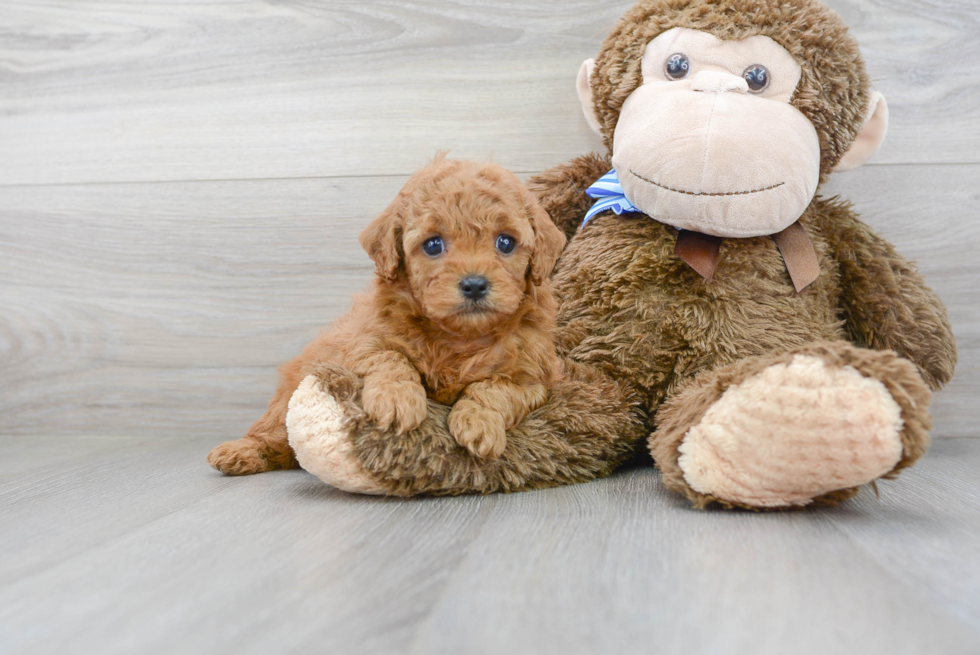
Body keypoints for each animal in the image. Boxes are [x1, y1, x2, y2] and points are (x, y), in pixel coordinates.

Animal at [207, 159, 568, 476]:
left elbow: (494, 388)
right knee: (271, 434)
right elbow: (390, 357)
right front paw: (396, 402)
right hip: (285, 400)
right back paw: (239, 452)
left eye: (505, 242)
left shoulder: (532, 379)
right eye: (433, 245)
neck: (459, 335)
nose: (474, 284)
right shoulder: (362, 344)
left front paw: (478, 422)